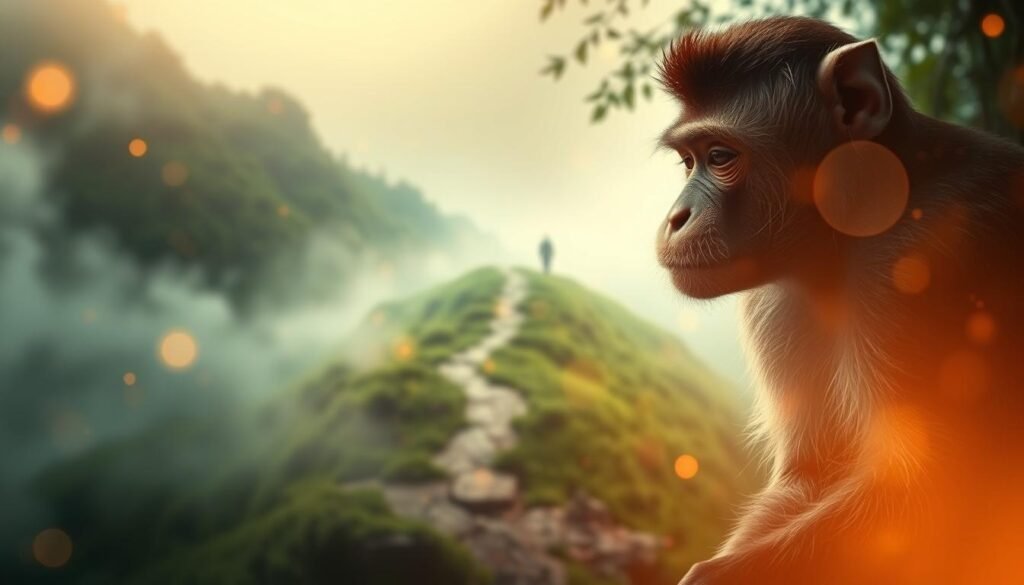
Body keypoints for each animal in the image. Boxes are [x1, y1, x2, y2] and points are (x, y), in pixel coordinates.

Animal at [654, 17, 1024, 585]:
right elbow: (812, 475)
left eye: (720, 157)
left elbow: (928, 488)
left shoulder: (917, 257)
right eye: (688, 160)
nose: (676, 217)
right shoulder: (776, 304)